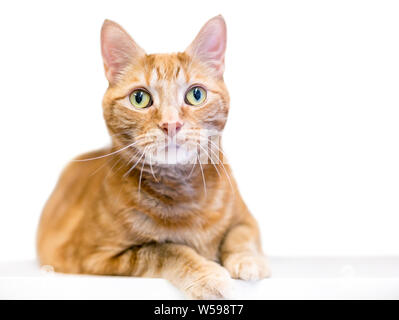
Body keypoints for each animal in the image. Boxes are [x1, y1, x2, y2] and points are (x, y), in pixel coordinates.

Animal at [37, 15, 270, 300]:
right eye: (140, 98)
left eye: (196, 94)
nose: (171, 124)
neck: (184, 193)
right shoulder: (98, 257)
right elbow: (165, 249)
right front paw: (207, 275)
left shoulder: (247, 219)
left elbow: (241, 235)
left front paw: (250, 261)